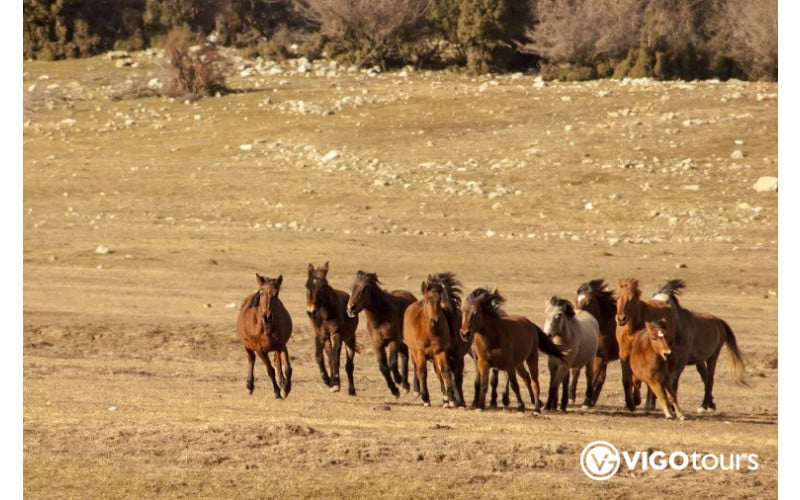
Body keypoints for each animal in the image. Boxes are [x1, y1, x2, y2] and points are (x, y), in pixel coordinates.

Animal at [305, 262, 359, 395]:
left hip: (350, 339)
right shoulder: (322, 336)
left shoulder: (336, 335)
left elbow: (335, 359)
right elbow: (320, 358)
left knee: (349, 365)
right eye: (307, 286)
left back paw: (351, 390)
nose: (311, 311)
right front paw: (327, 380)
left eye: (322, 286)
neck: (325, 315)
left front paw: (335, 384)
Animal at [616, 277, 683, 412]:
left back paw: (649, 405)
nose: (621, 319)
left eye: (632, 299)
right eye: (616, 297)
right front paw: (629, 404)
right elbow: (627, 380)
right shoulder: (624, 353)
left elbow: (637, 379)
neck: (631, 330)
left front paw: (636, 400)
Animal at [652, 279, 748, 411]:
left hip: (713, 356)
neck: (678, 331)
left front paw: (672, 406)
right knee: (705, 377)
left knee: (710, 379)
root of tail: (719, 321)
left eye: (667, 302)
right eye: (652, 299)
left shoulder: (681, 361)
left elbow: (673, 381)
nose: (656, 322)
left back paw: (704, 406)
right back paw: (710, 404)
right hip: (699, 360)